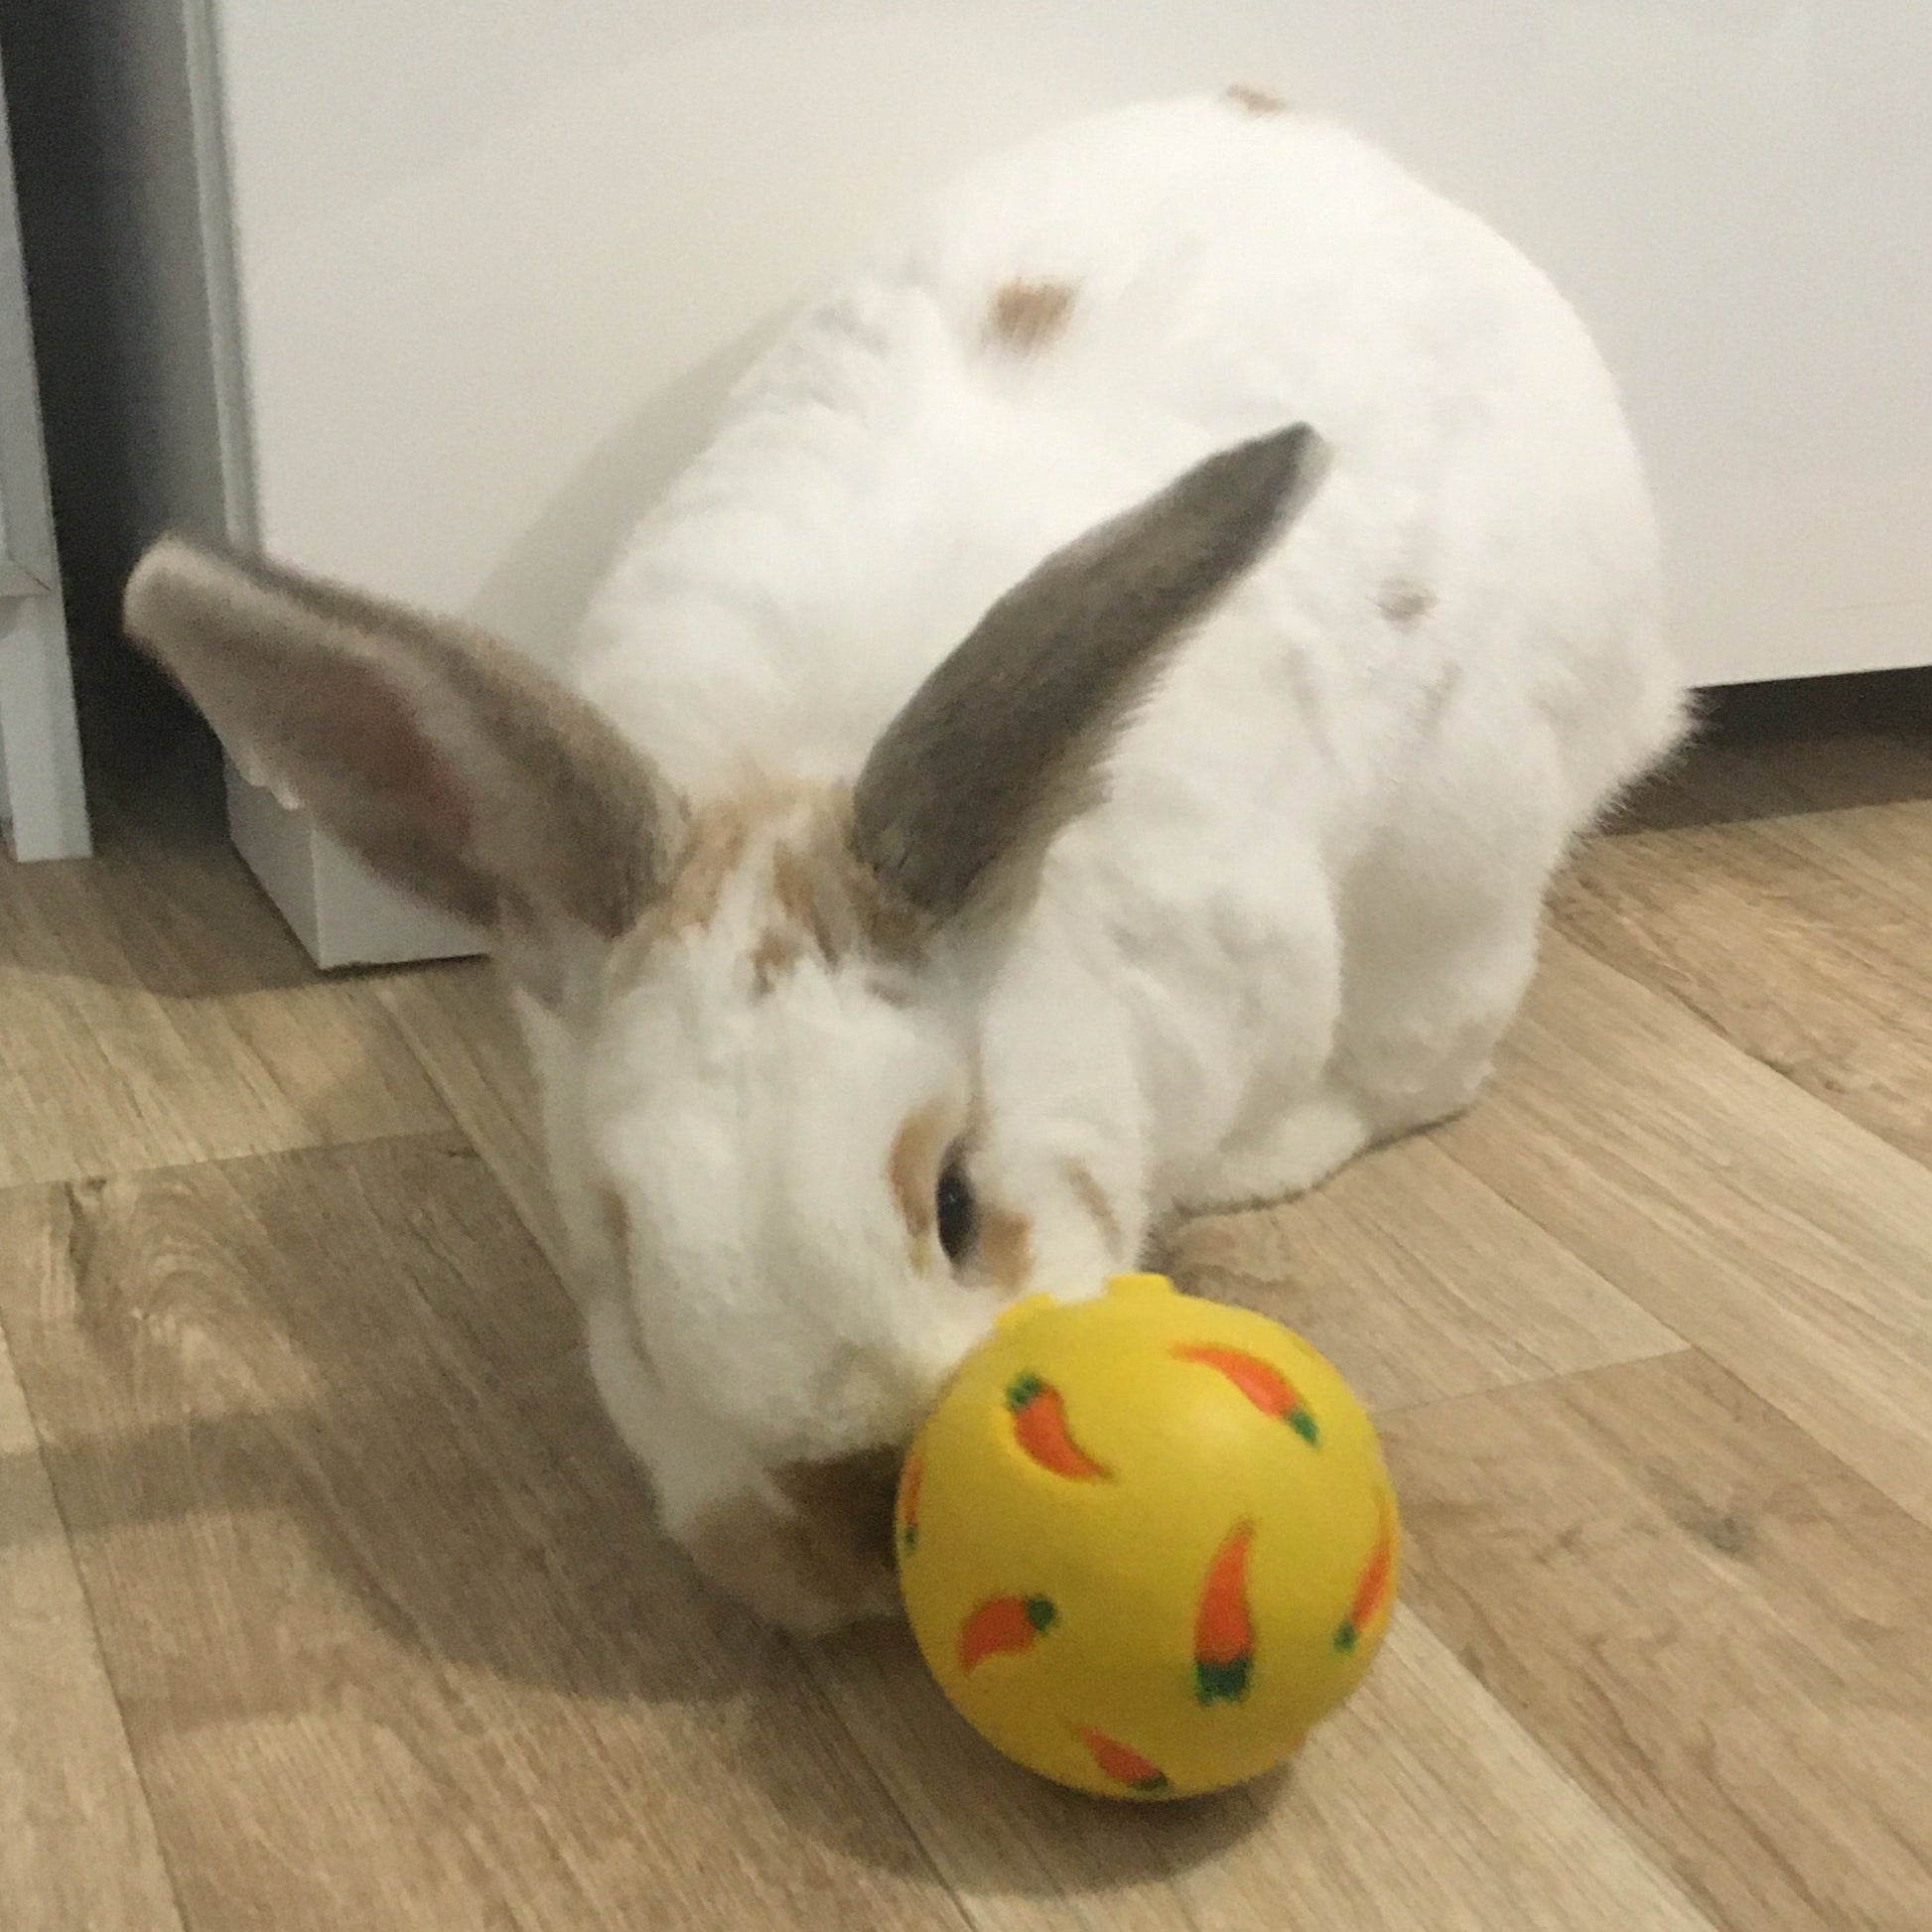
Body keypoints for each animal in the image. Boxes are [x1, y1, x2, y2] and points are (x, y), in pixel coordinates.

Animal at [128, 90, 1684, 1630]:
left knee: (1427, 1052)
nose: (848, 1512)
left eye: (954, 1200)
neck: (792, 768)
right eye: (622, 1255)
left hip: (1457, 848)